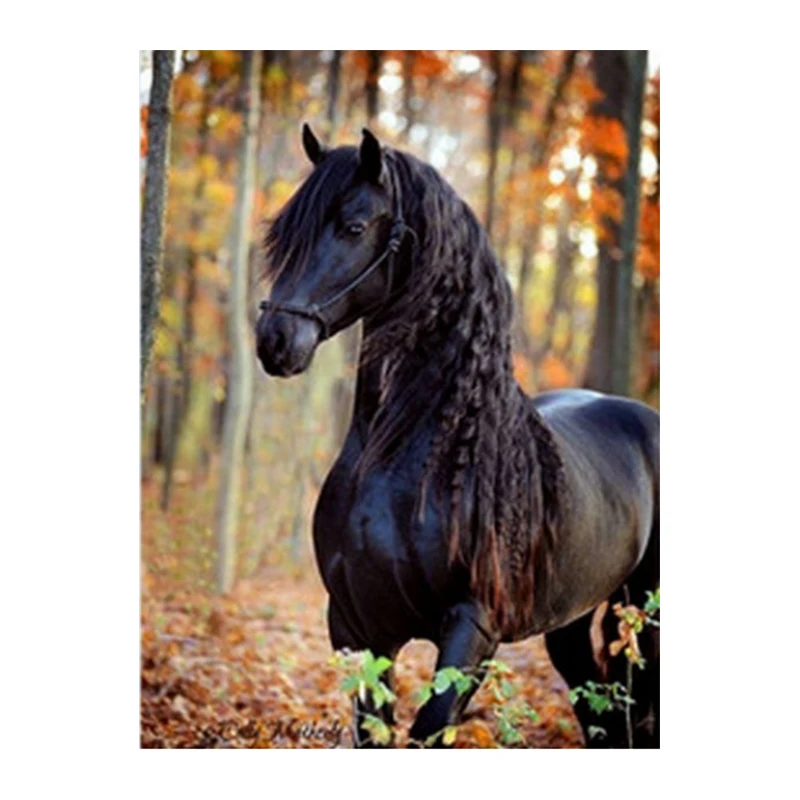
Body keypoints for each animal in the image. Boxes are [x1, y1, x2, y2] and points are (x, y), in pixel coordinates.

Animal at [255, 125, 660, 748]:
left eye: (353, 226)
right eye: (284, 231)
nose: (275, 340)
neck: (406, 457)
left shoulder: (472, 629)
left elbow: (429, 727)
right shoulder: (355, 627)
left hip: (646, 608)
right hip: (569, 622)